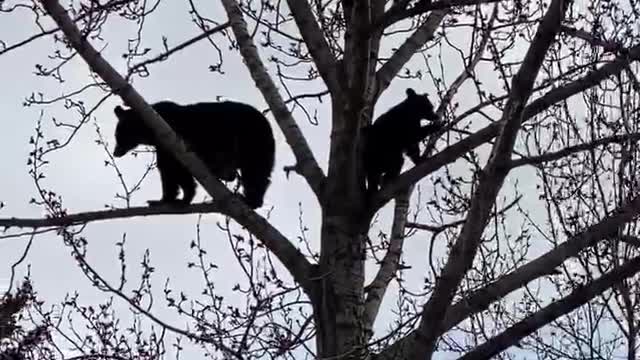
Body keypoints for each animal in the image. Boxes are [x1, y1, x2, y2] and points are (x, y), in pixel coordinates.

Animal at [112, 100, 276, 208]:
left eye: (119, 136)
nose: (115, 152)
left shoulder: (172, 137)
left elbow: (173, 168)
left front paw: (174, 199)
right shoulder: (165, 145)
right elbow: (170, 169)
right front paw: (171, 199)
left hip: (248, 139)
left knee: (254, 171)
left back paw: (249, 199)